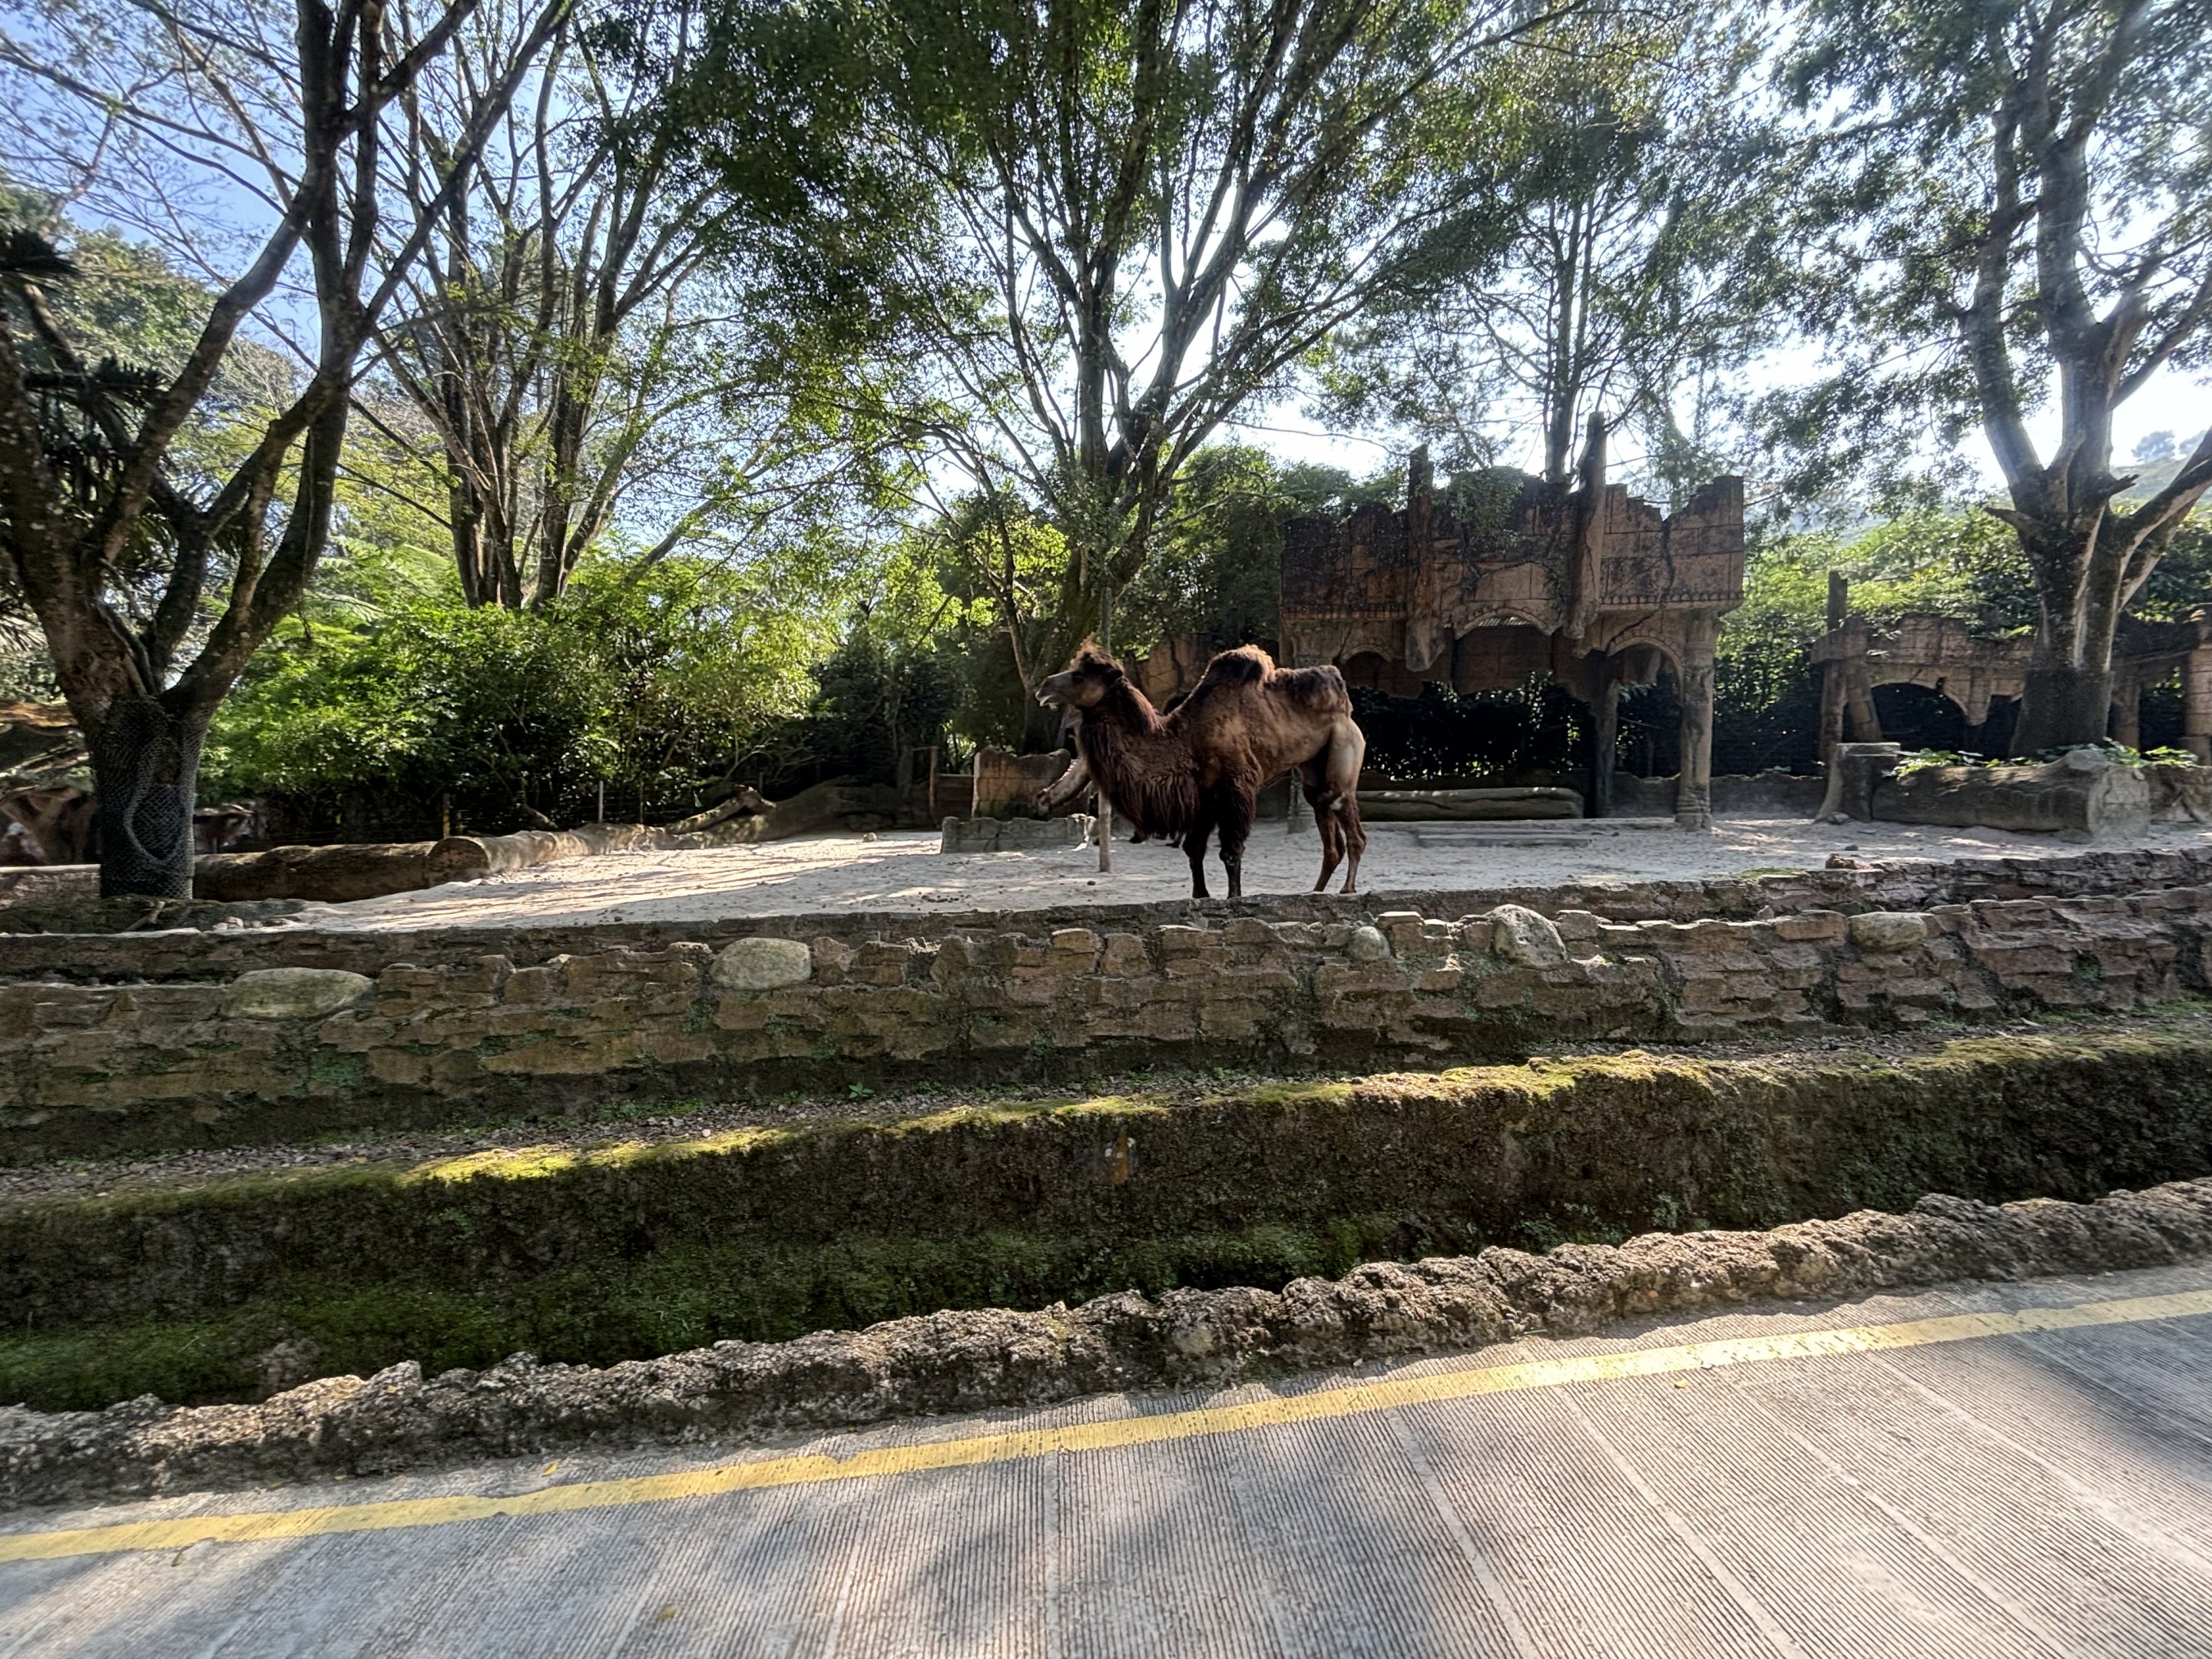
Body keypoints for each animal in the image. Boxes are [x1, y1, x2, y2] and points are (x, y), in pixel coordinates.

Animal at [1035, 643, 1367, 898]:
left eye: (1079, 676)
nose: (1043, 687)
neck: (1184, 742)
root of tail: (1345, 705)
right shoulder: (1203, 799)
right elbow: (1194, 851)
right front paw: (1201, 895)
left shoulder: (1236, 789)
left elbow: (1230, 852)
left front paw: (1234, 897)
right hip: (1313, 767)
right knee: (1326, 821)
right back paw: (1316, 891)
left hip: (1345, 746)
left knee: (1344, 813)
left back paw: (1347, 890)